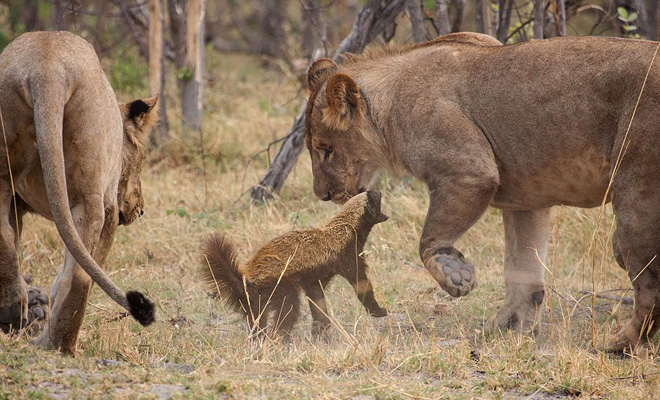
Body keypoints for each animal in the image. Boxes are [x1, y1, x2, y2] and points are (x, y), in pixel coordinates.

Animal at [0, 32, 159, 354]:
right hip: (90, 195)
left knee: (5, 239)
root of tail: (46, 67)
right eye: (142, 157)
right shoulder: (110, 207)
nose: (140, 209)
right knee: (78, 276)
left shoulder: (16, 204)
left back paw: (13, 314)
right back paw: (58, 345)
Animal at [199, 191, 390, 338]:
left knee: (257, 320)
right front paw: (380, 311)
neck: (347, 228)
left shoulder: (315, 278)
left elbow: (317, 299)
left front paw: (320, 327)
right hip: (280, 286)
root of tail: (247, 279)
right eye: (374, 197)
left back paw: (258, 338)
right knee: (288, 310)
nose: (378, 189)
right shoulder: (348, 256)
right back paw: (279, 337)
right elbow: (362, 285)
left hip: (255, 301)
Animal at [306, 32, 660, 354]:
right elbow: (522, 268)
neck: (388, 106)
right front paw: (509, 326)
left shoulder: (470, 171)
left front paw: (454, 274)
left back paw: (618, 345)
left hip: (637, 195)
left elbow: (429, 239)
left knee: (649, 287)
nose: (322, 195)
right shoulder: (526, 200)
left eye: (325, 150)